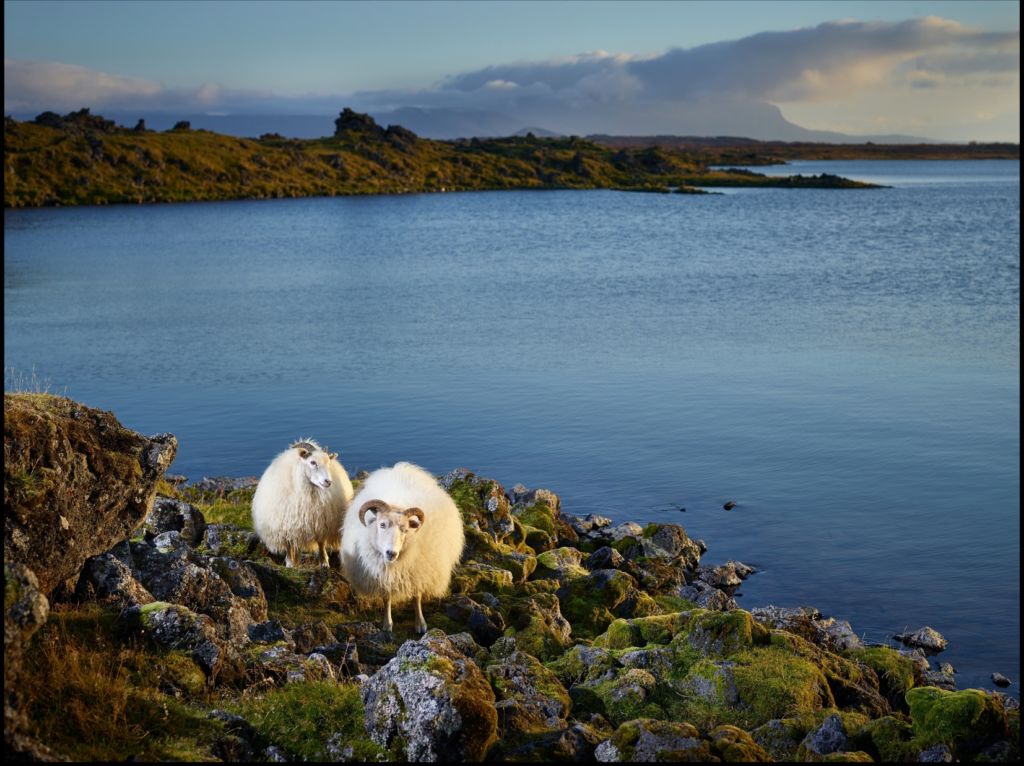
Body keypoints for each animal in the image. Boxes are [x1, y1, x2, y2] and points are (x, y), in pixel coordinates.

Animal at [249, 436, 354, 569]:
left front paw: (324, 562)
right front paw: (289, 564)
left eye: (328, 463)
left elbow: (321, 542)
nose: (328, 482)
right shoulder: (286, 526)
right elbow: (288, 546)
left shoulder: (320, 523)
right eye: (312, 462)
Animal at [344, 460, 468, 634]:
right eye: (382, 524)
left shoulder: (417, 570)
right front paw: (387, 624)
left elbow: (417, 596)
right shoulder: (384, 574)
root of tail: (400, 468)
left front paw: (420, 623)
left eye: (405, 529)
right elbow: (387, 598)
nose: (391, 553)